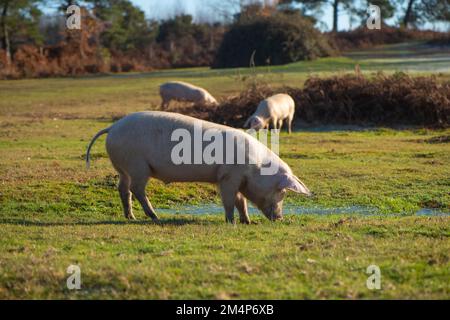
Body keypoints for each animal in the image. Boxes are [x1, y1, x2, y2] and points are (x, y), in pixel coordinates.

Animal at [86, 111, 312, 224]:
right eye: (282, 192)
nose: (280, 219)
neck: (255, 168)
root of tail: (112, 128)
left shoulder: (235, 178)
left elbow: (241, 201)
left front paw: (247, 221)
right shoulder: (228, 176)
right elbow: (230, 200)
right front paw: (230, 221)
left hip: (123, 168)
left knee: (123, 189)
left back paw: (131, 217)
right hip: (137, 166)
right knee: (136, 189)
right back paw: (155, 216)